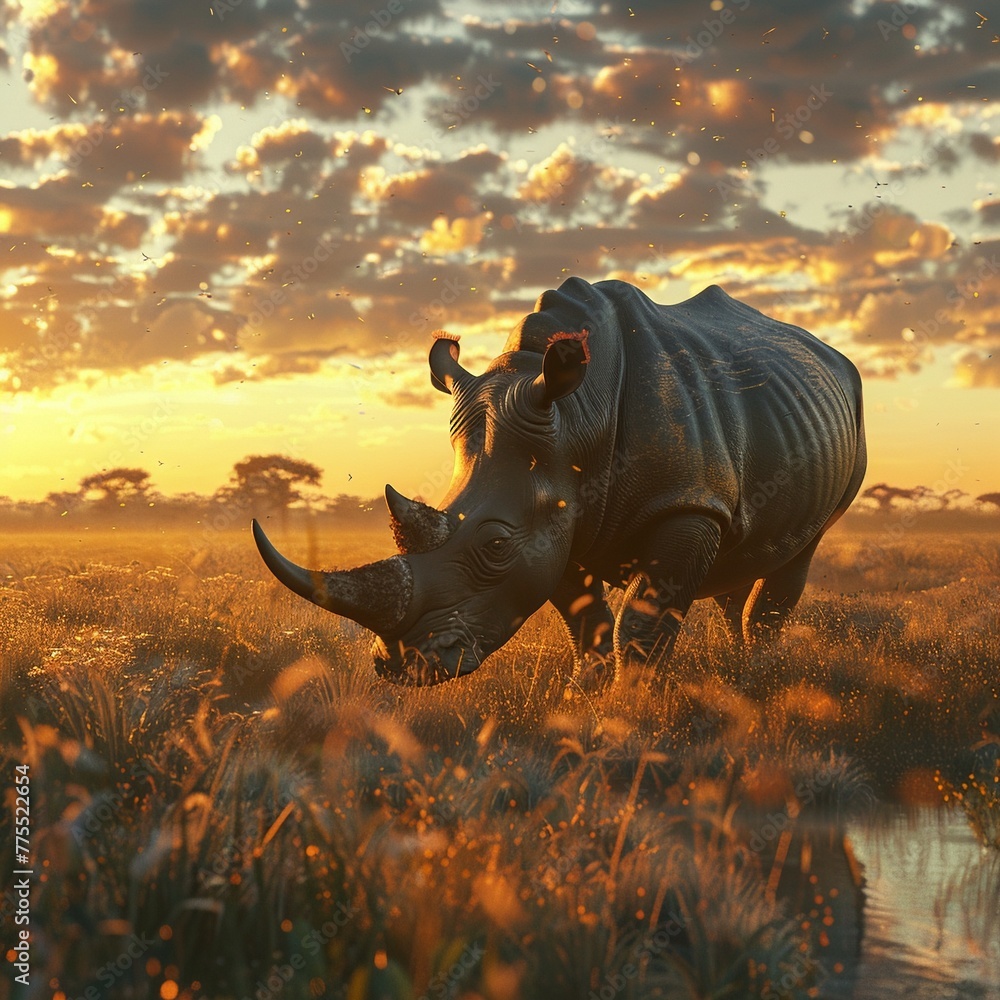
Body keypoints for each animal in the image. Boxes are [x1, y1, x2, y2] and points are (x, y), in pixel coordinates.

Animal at [253, 277, 866, 686]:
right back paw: (741, 669)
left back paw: (758, 672)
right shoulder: (559, 516)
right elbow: (585, 618)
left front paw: (632, 706)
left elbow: (639, 625)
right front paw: (581, 697)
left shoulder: (686, 503)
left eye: (495, 543)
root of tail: (829, 353)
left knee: (801, 550)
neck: (575, 418)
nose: (400, 666)